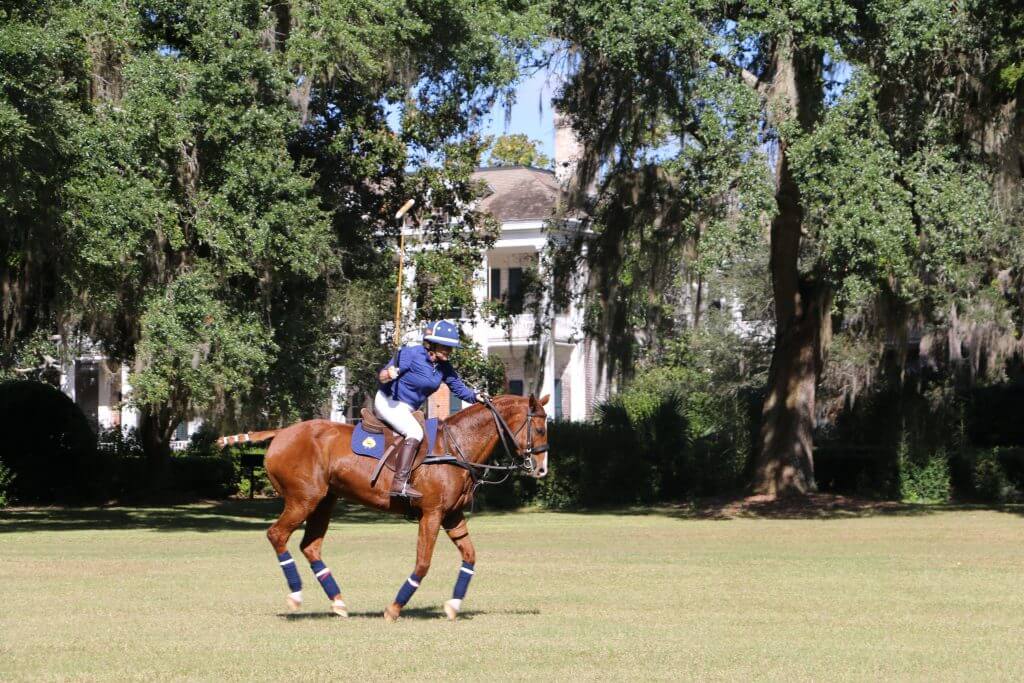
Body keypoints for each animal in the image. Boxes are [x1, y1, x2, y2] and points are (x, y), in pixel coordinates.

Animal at [220, 393, 548, 622]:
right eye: (541, 429)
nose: (542, 469)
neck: (457, 447)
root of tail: (280, 433)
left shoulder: (452, 516)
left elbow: (470, 556)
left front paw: (454, 606)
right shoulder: (431, 514)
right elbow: (423, 564)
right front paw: (393, 609)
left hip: (325, 500)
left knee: (310, 546)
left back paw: (338, 602)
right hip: (303, 499)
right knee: (277, 535)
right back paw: (296, 596)